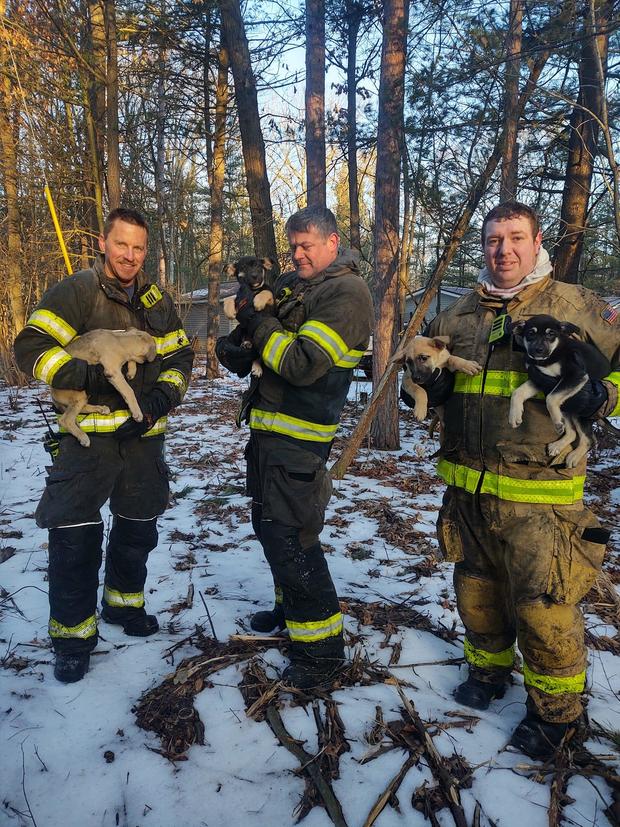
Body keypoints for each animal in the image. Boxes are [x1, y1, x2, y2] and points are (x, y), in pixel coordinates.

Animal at [508, 316, 612, 468]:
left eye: (551, 334)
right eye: (531, 333)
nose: (538, 350)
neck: (551, 355)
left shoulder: (576, 375)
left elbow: (550, 398)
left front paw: (556, 421)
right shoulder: (539, 378)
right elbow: (517, 392)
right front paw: (514, 416)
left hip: (581, 411)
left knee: (589, 439)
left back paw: (573, 456)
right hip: (567, 407)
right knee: (573, 432)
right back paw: (557, 445)